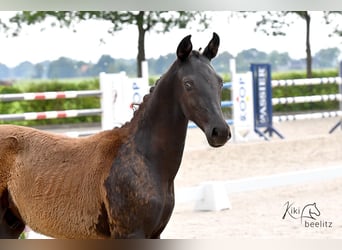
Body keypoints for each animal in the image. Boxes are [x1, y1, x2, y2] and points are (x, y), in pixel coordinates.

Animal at [0, 32, 231, 238]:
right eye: (188, 84)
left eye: (220, 82)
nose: (220, 132)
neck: (144, 158)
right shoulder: (130, 234)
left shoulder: (154, 234)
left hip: (11, 225)